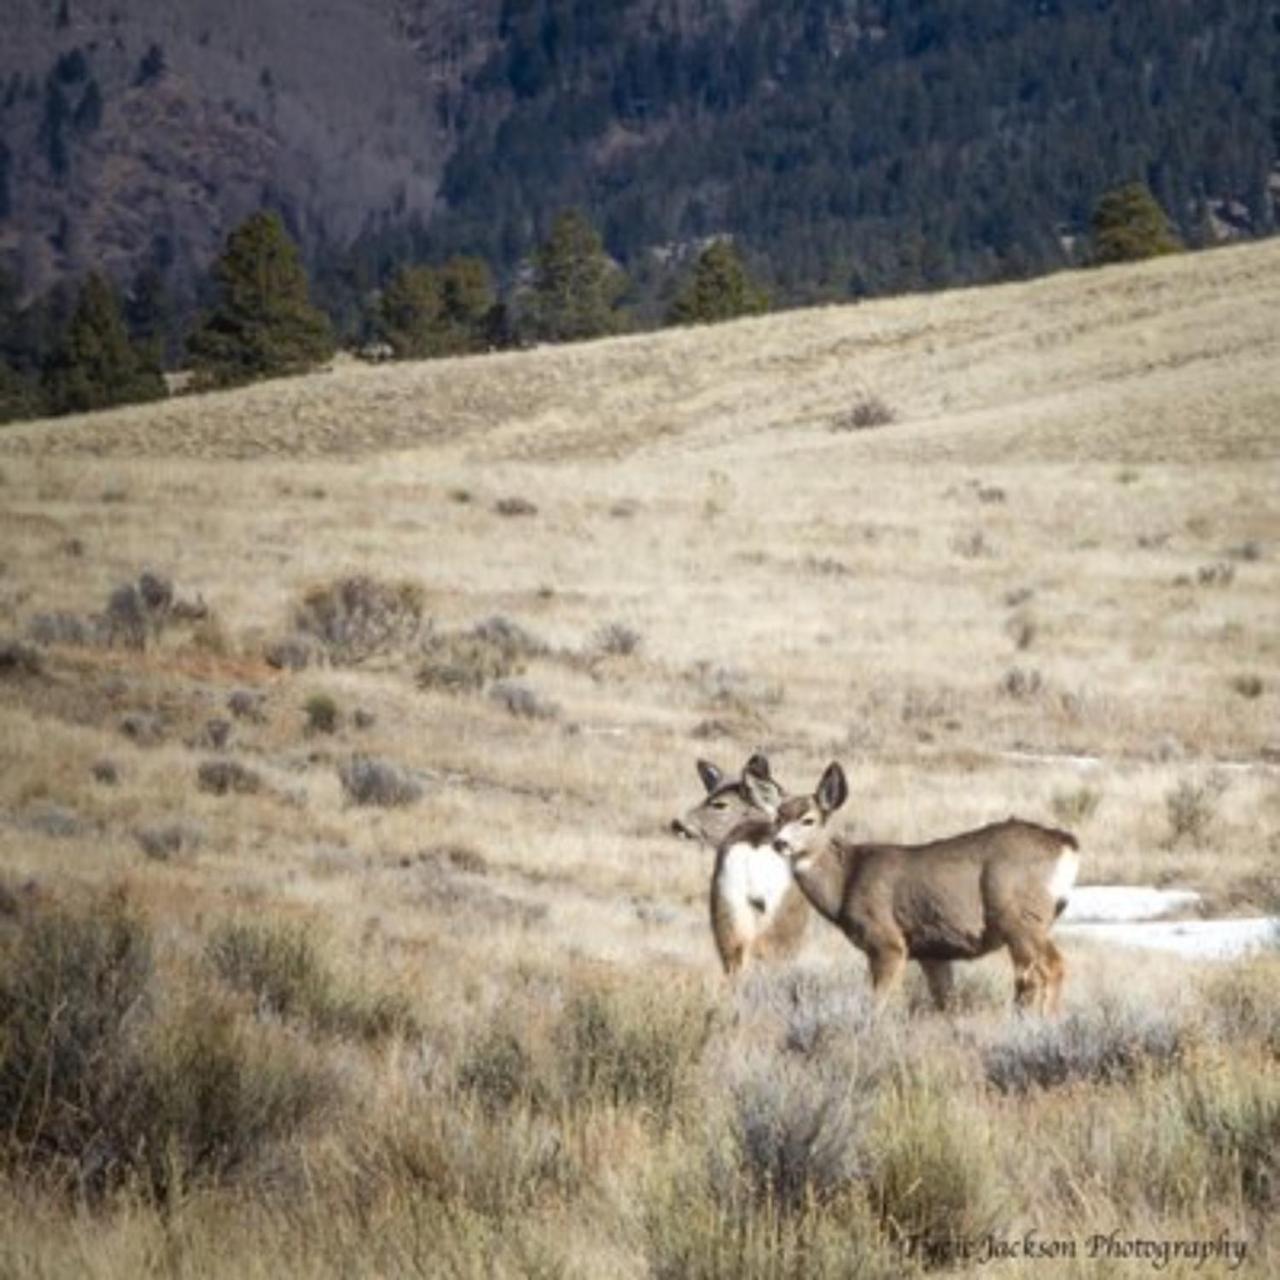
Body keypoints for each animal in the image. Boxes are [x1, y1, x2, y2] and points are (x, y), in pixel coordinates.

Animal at [762, 757, 1075, 1018]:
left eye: (808, 820)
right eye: (777, 817)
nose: (779, 843)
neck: (846, 880)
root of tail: (1066, 844)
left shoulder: (887, 941)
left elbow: (878, 1003)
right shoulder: (932, 951)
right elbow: (947, 1004)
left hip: (1020, 917)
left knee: (1050, 968)